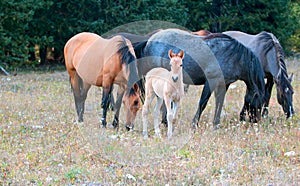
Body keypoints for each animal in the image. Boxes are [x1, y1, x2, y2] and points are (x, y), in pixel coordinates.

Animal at [134, 28, 264, 128]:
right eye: (258, 102)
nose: (256, 122)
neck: (234, 56)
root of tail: (149, 41)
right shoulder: (211, 81)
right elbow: (203, 103)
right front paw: (194, 124)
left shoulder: (224, 84)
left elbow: (219, 103)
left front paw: (216, 125)